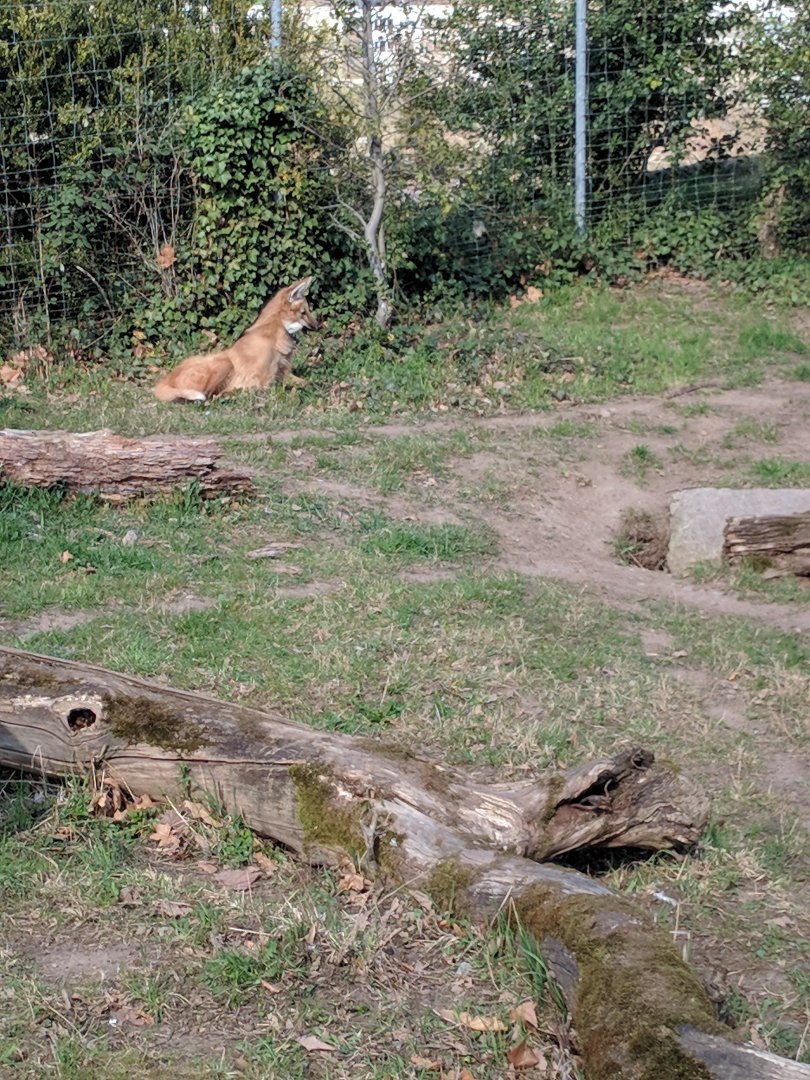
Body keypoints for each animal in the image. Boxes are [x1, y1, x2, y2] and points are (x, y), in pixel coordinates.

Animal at [153, 277, 318, 403]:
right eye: (303, 312)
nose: (317, 326)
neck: (276, 334)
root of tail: (165, 380)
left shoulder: (281, 373)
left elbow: (307, 382)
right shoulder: (261, 381)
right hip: (224, 363)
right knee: (209, 396)